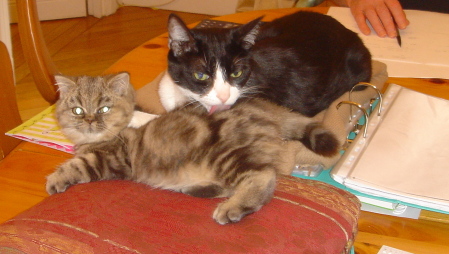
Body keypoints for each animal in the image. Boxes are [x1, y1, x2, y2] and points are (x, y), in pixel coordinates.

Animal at [47, 72, 338, 224]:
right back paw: (198, 189)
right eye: (77, 109)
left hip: (226, 154)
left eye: (104, 108)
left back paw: (232, 208)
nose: (89, 120)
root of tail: (266, 109)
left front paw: (56, 179)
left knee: (263, 177)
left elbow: (77, 165)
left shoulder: (111, 158)